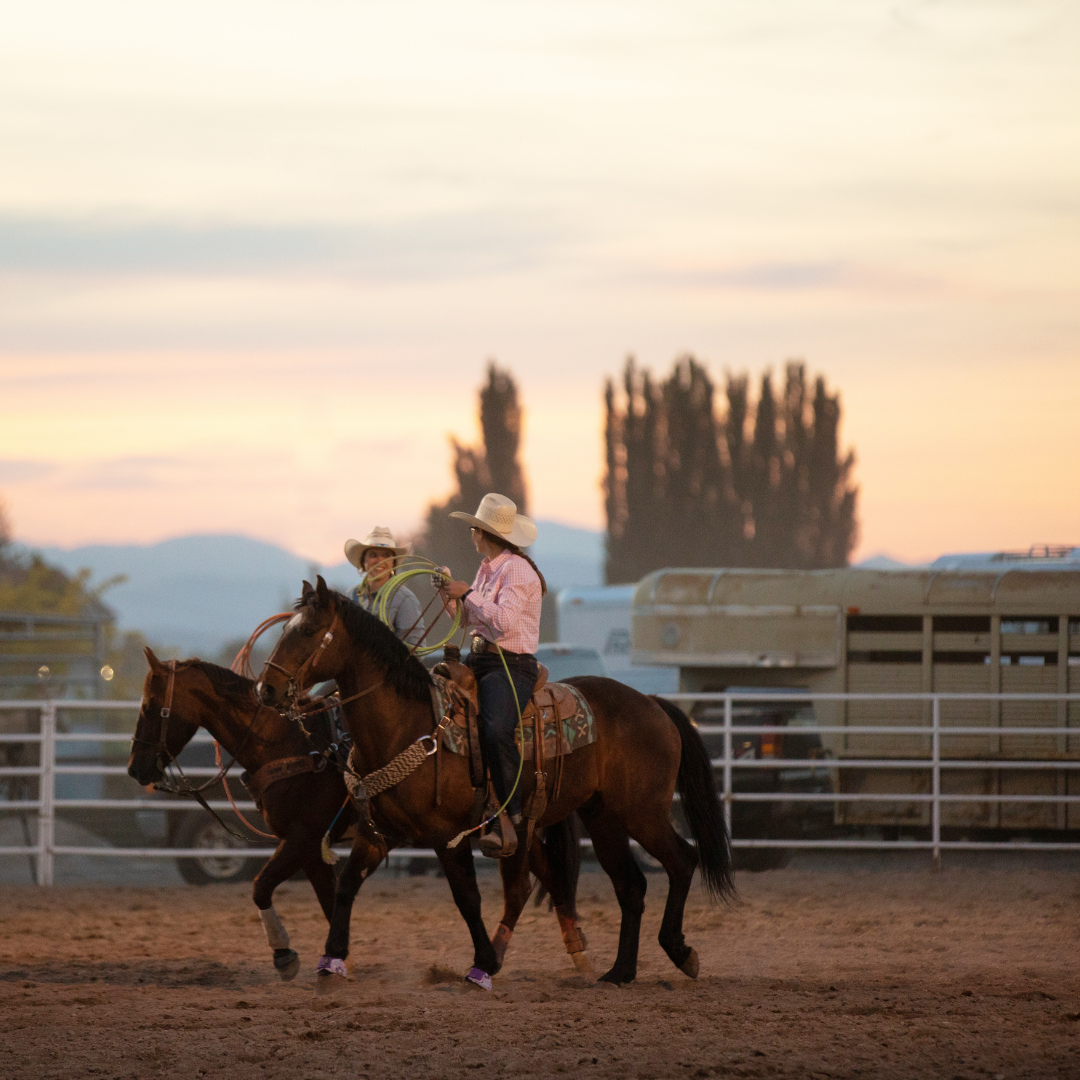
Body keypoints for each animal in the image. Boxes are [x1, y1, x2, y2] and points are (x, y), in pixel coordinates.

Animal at [252, 578, 734, 989]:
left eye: (308, 630)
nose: (266, 690)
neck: (407, 725)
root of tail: (652, 704)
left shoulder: (446, 835)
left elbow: (467, 897)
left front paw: (482, 963)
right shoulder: (377, 833)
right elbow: (347, 887)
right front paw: (331, 959)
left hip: (643, 813)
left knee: (682, 861)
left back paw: (680, 951)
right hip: (603, 818)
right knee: (630, 886)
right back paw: (619, 972)